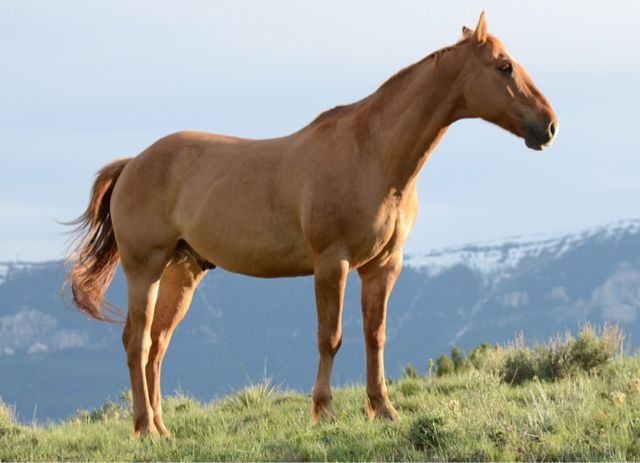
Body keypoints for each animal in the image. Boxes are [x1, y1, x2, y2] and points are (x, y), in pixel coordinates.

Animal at [65, 12, 557, 437]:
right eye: (504, 66)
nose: (548, 126)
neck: (371, 153)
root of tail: (133, 163)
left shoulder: (383, 266)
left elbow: (375, 335)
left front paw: (383, 409)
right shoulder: (331, 264)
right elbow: (330, 337)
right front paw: (324, 411)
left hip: (181, 272)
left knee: (157, 345)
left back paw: (162, 428)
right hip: (144, 269)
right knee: (137, 341)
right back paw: (145, 428)